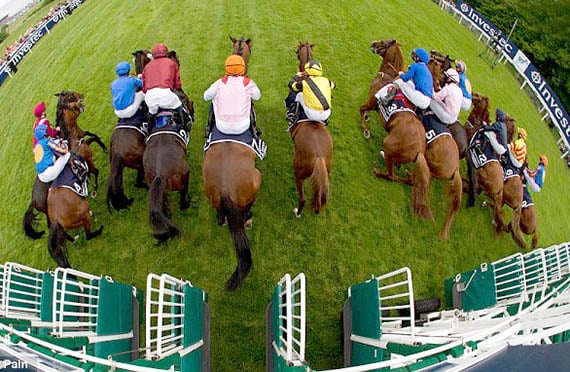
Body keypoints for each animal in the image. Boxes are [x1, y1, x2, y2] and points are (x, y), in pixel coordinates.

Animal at [288, 41, 332, 217]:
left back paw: (297, 212)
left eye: (298, 49)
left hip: (298, 171)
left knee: (302, 198)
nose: (295, 53)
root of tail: (319, 157)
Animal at [362, 40, 432, 221]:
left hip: (389, 144)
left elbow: (361, 110)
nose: (372, 43)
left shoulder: (372, 102)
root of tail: (419, 150)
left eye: (383, 43)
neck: (388, 77)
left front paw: (365, 130)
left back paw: (378, 170)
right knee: (408, 178)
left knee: (391, 176)